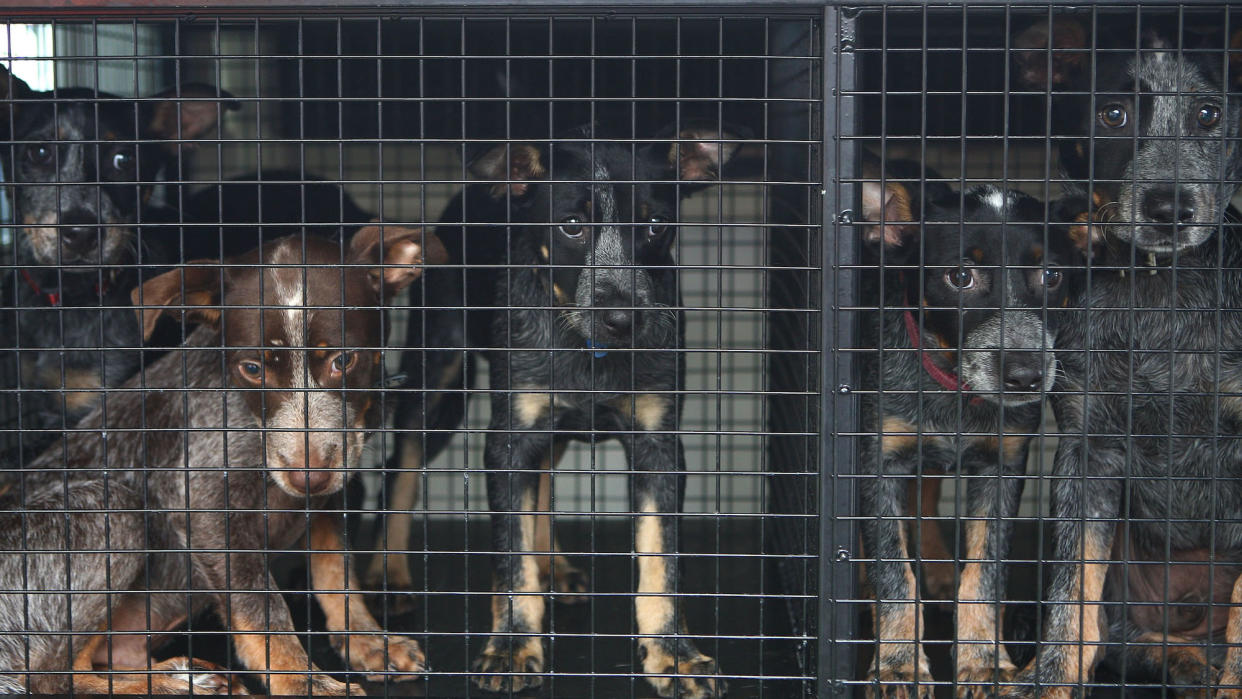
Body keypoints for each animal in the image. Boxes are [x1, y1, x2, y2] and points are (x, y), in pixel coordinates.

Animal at [859, 160, 1083, 699]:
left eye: (1051, 275)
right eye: (960, 276)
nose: (1026, 374)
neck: (954, 389)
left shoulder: (1004, 467)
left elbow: (985, 573)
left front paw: (982, 663)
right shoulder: (878, 459)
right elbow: (891, 568)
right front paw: (897, 666)